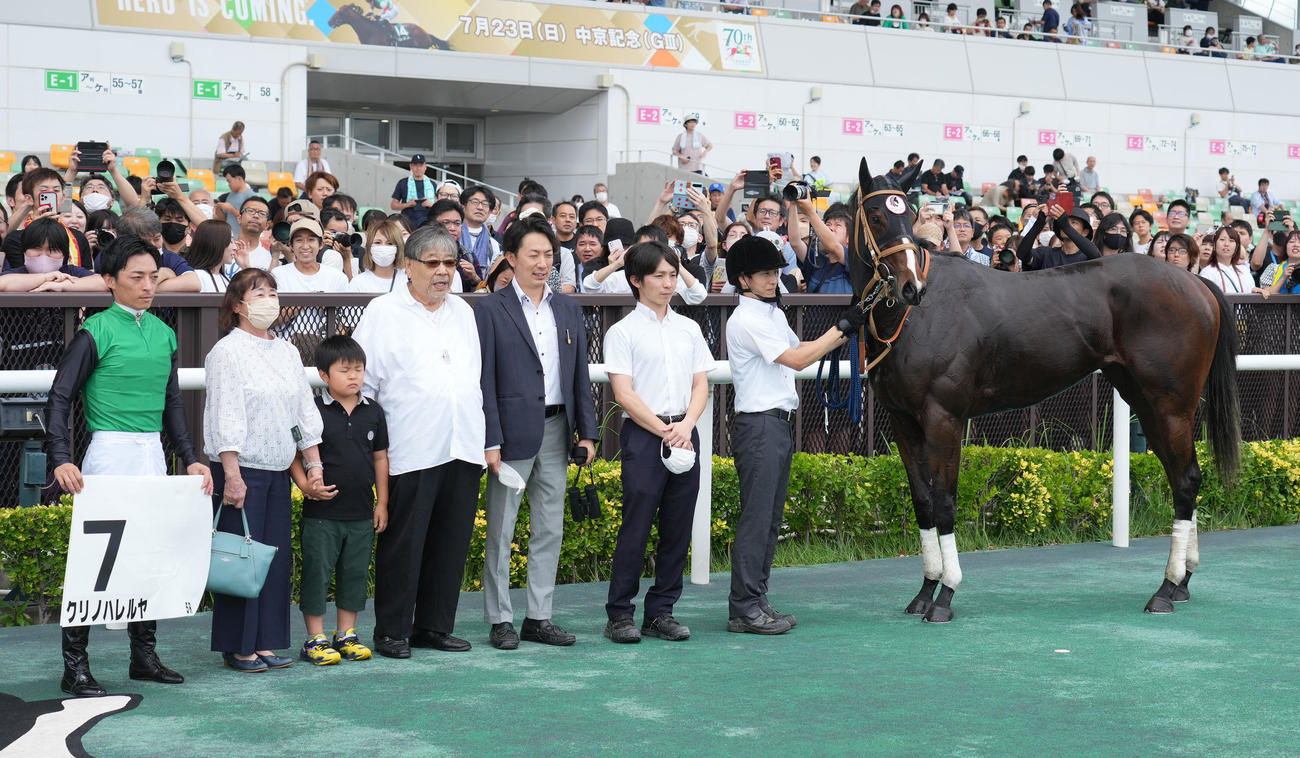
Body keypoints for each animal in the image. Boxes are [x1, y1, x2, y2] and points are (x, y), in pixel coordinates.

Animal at [843, 157, 1241, 623]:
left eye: (906, 212)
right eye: (876, 215)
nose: (910, 287)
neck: (917, 318)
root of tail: (1197, 284)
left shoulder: (944, 419)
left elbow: (944, 501)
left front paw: (945, 594)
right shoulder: (903, 421)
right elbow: (923, 502)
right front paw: (924, 590)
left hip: (1171, 405)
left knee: (1186, 480)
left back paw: (1165, 587)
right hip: (1144, 401)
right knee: (1182, 478)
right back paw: (1182, 582)